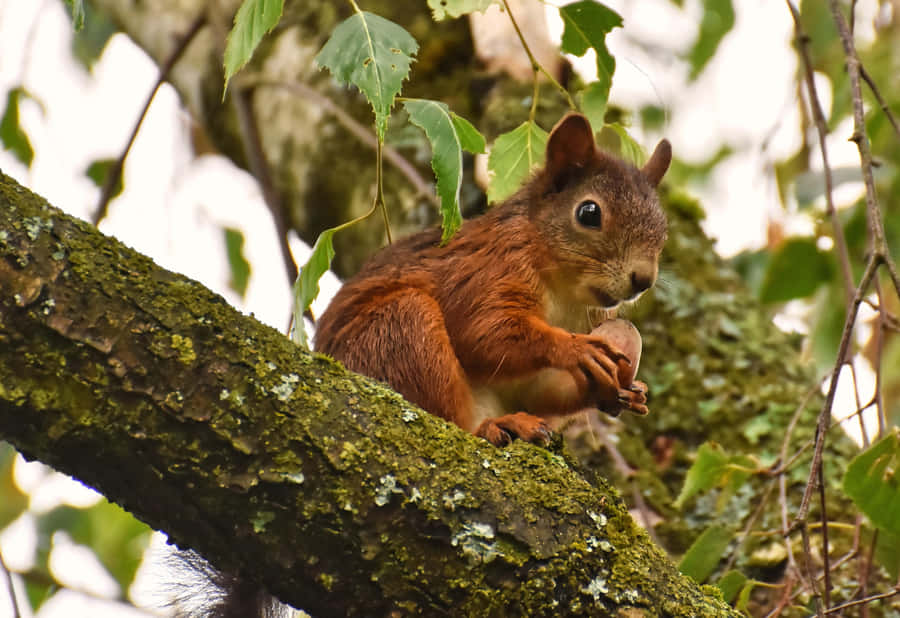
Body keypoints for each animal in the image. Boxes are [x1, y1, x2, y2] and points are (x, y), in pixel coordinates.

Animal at [314, 112, 671, 445]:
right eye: (589, 213)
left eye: (663, 229)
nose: (643, 279)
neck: (566, 294)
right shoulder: (489, 270)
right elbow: (485, 330)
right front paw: (574, 348)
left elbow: (539, 392)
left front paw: (627, 391)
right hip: (396, 332)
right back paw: (496, 425)